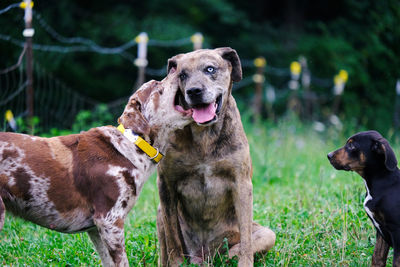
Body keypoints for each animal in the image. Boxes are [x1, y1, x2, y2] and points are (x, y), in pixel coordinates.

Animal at [0, 72, 192, 266]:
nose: (178, 70)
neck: (131, 144)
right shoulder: (110, 220)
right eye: (157, 86)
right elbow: (122, 261)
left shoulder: (96, 229)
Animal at [155, 47, 276, 266]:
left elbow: (246, 239)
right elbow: (173, 240)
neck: (204, 135)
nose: (194, 91)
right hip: (160, 212)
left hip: (267, 234)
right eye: (182, 75)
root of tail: (203, 256)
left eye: (210, 69)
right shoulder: (165, 184)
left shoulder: (241, 183)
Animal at [328, 131, 400, 266]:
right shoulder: (381, 232)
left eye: (352, 146)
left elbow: (396, 262)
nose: (328, 155)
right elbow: (377, 258)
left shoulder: (396, 231)